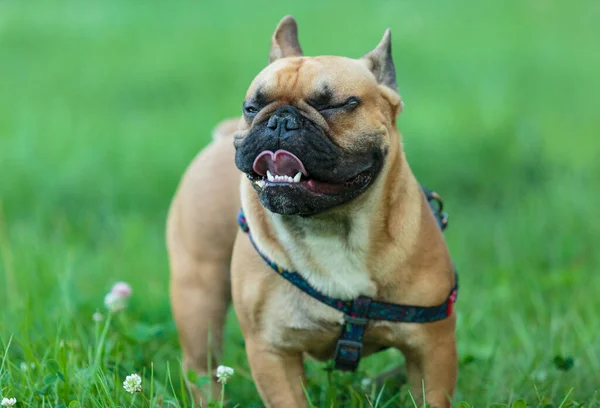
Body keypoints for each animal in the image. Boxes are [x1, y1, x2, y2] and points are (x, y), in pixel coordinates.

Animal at [166, 15, 458, 404]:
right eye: (251, 107)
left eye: (335, 105)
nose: (279, 121)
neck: (331, 225)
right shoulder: (272, 351)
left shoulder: (432, 350)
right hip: (198, 294)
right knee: (202, 368)